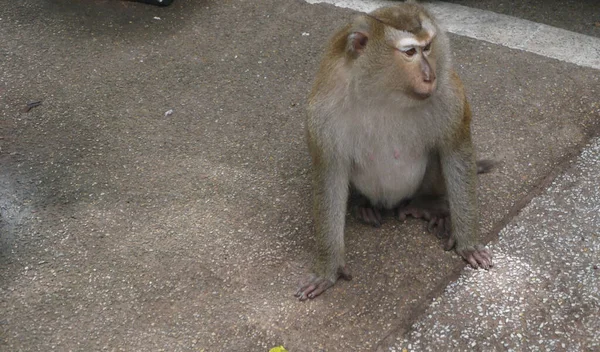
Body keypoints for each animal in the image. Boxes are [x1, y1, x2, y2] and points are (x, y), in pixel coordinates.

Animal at [296, 1, 492, 302]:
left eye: (428, 47)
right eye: (410, 52)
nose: (429, 76)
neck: (384, 92)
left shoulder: (448, 95)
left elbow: (455, 150)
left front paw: (467, 241)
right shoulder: (323, 112)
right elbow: (330, 172)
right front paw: (328, 267)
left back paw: (426, 205)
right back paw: (366, 206)